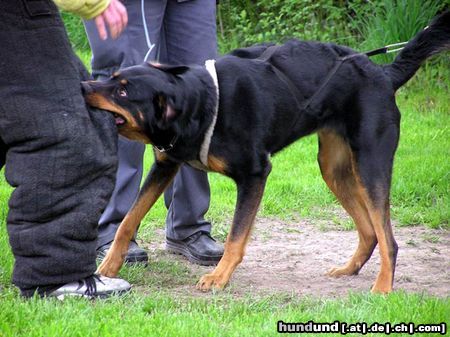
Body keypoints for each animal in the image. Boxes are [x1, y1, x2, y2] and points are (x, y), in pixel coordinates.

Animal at [82, 11, 448, 292]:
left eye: (124, 91)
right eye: (113, 77)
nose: (84, 86)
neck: (202, 103)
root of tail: (382, 74)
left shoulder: (255, 174)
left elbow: (235, 236)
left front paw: (219, 277)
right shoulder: (165, 164)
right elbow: (128, 221)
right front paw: (109, 268)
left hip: (371, 166)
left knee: (389, 239)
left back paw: (383, 287)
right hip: (333, 168)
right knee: (371, 232)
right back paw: (348, 270)